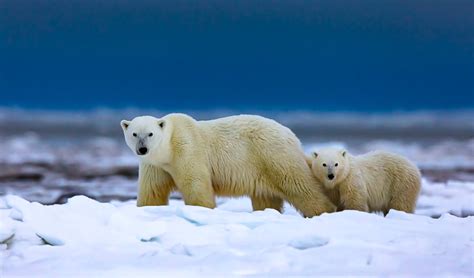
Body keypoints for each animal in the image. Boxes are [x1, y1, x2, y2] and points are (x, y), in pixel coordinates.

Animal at [122, 113, 336, 217]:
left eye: (150, 134)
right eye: (134, 133)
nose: (142, 149)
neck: (168, 150)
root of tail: (292, 135)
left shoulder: (187, 150)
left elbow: (196, 185)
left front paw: (201, 210)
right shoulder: (155, 166)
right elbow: (152, 192)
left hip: (273, 155)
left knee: (299, 185)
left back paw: (325, 210)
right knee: (266, 197)